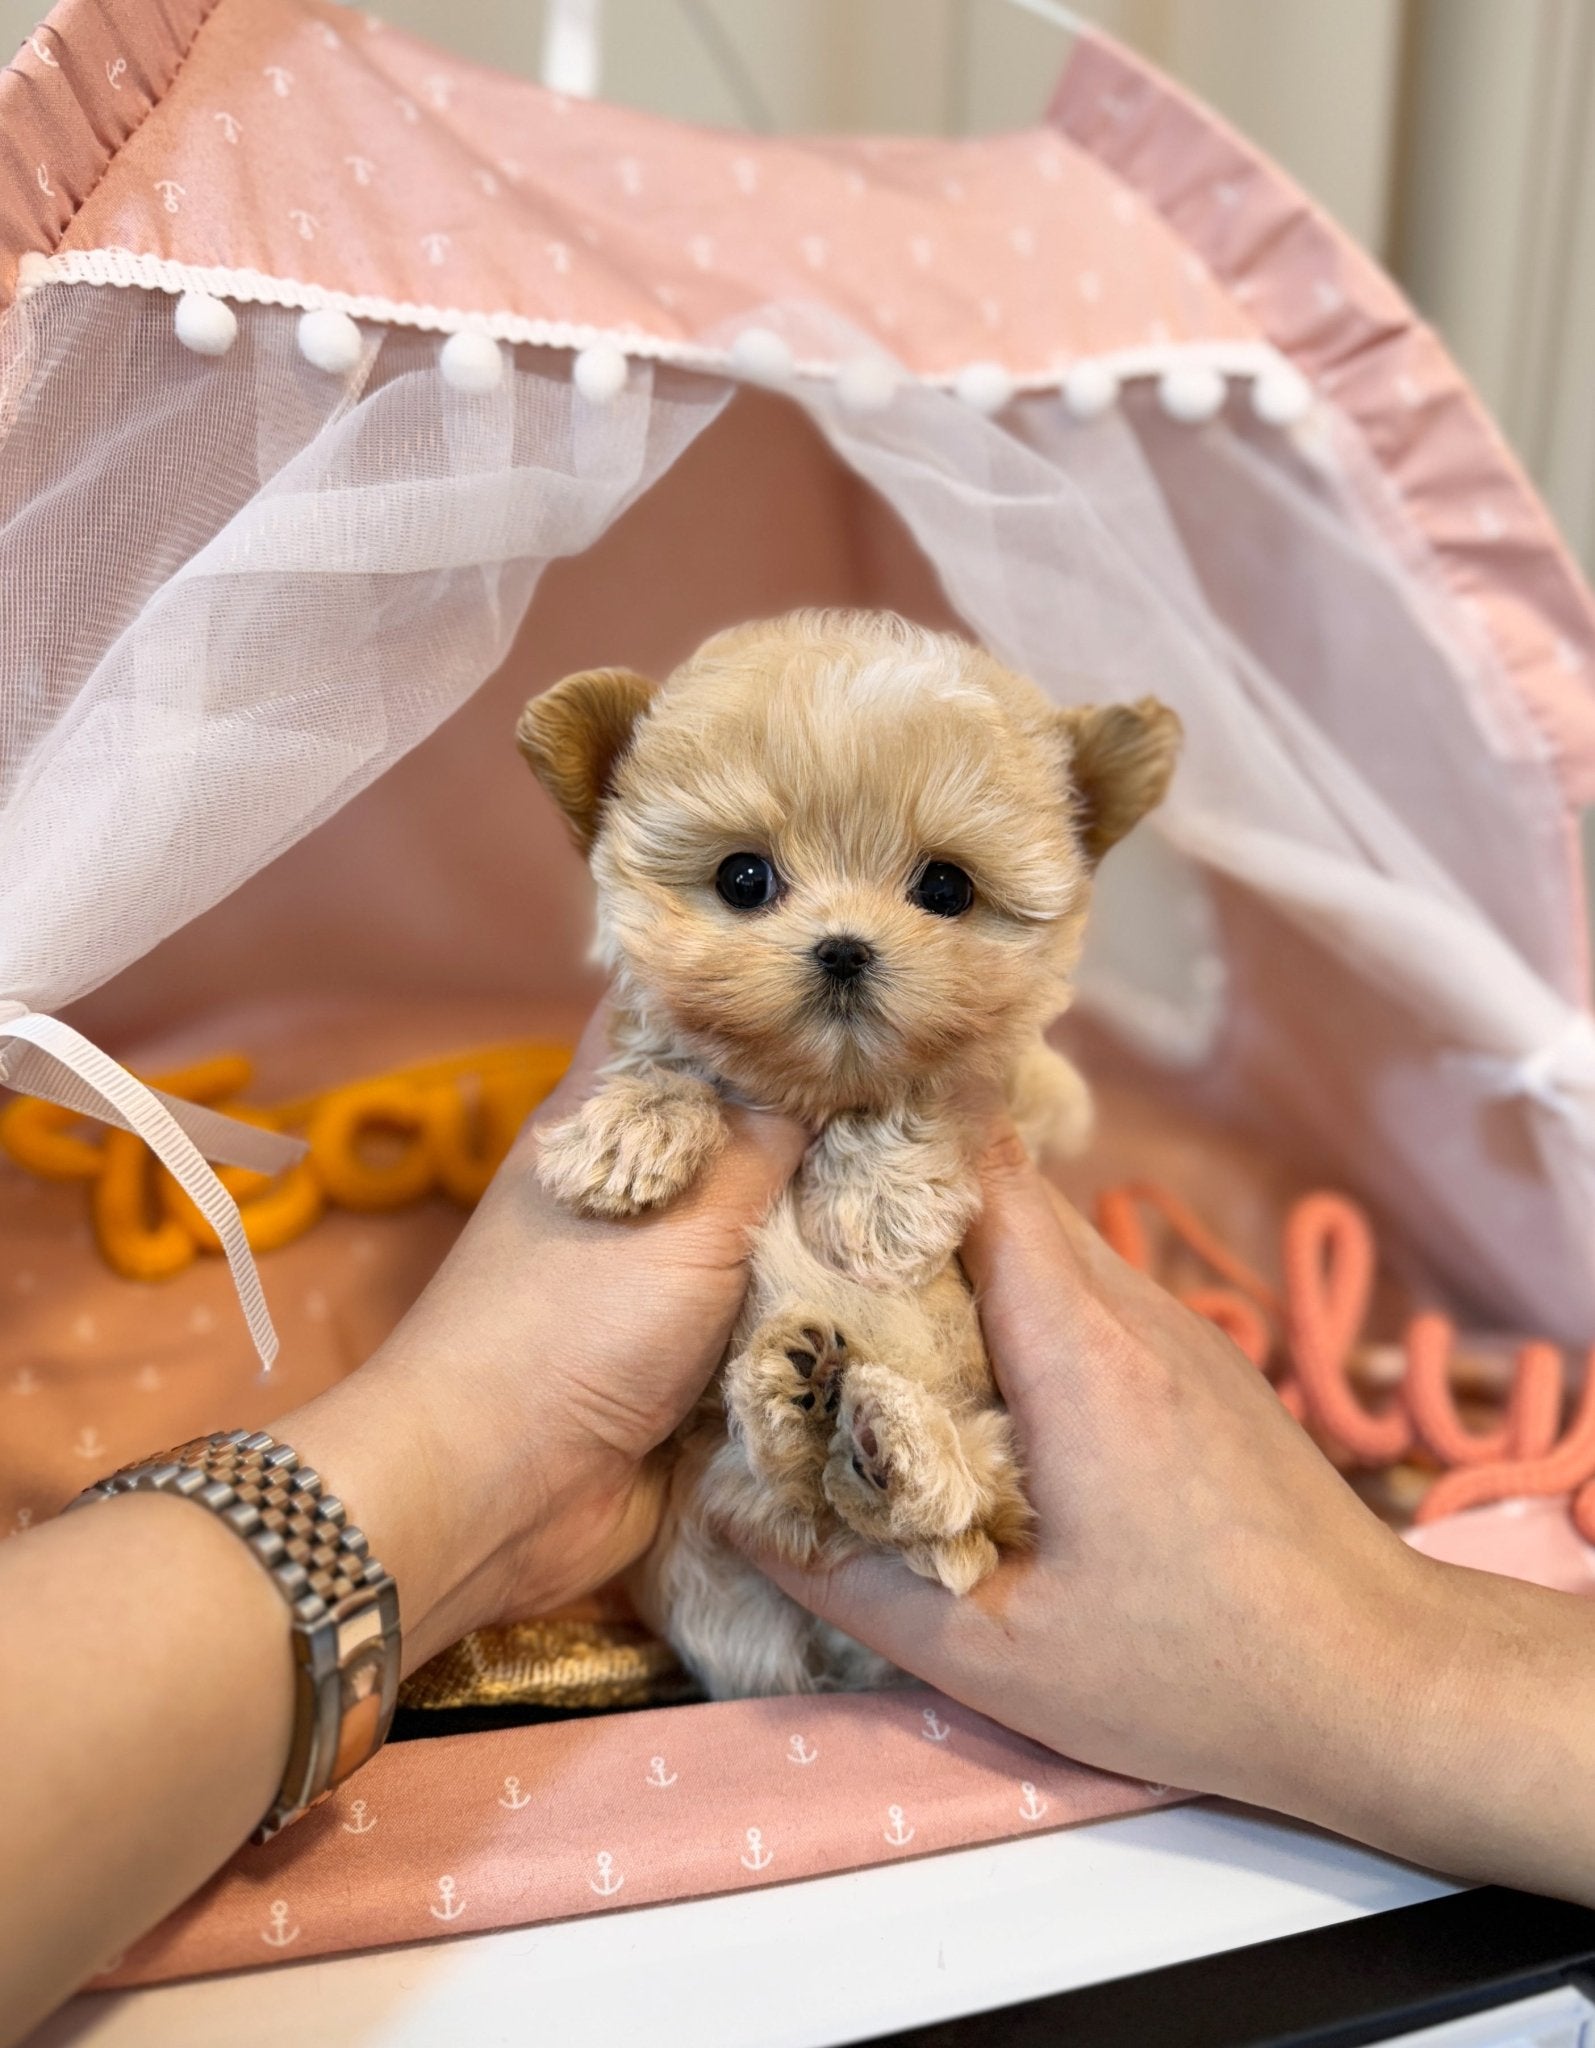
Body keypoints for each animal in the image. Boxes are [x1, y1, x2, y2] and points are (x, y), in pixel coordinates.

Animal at [518, 606, 1179, 1695]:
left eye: (945, 886)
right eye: (744, 877)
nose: (841, 949)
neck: (816, 1094)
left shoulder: (1030, 1094)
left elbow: (928, 1088)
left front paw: (881, 1205)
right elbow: (672, 1058)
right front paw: (629, 1130)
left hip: (979, 1449)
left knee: (956, 1519)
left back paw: (887, 1449)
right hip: (717, 1523)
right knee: (801, 1487)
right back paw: (803, 1403)